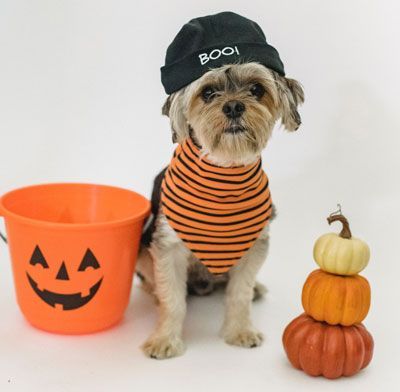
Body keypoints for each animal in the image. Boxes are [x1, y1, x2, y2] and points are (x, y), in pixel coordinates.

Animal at [136, 10, 304, 360]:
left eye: (256, 89)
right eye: (209, 93)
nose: (234, 106)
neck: (224, 175)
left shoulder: (255, 245)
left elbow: (239, 295)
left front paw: (240, 331)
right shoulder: (167, 247)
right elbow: (172, 300)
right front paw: (164, 339)